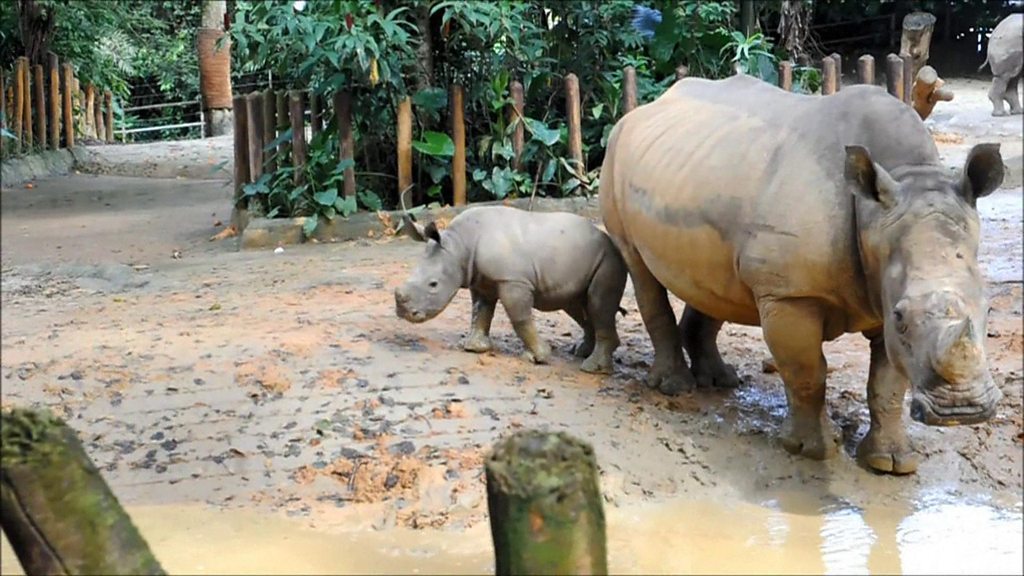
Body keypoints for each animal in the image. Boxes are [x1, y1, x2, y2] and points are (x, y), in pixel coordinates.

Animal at [395, 202, 626, 373]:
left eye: (433, 284)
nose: (403, 313)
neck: (459, 246)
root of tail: (609, 240)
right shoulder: (481, 280)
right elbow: (480, 311)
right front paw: (474, 347)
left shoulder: (513, 280)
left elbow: (519, 318)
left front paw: (540, 356)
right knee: (577, 306)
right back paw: (581, 352)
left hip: (609, 259)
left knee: (597, 304)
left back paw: (592, 368)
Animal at [602, 73, 1003, 473]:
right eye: (902, 316)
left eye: (988, 309)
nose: (963, 410)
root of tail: (644, 110)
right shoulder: (790, 295)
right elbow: (808, 373)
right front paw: (814, 450)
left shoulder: (882, 292)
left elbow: (887, 383)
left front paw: (891, 462)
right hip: (616, 155)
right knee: (639, 269)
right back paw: (675, 387)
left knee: (711, 281)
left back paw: (720, 381)